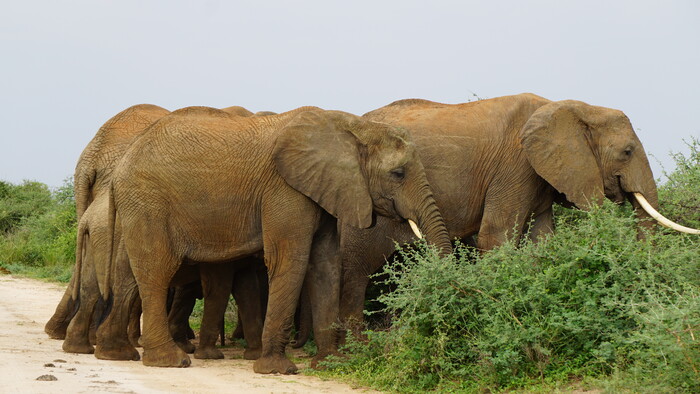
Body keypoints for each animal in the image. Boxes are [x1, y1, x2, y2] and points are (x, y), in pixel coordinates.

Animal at [102, 104, 454, 372]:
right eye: (398, 174)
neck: (350, 126)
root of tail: (119, 170)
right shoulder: (284, 190)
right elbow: (291, 260)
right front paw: (276, 368)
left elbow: (325, 265)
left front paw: (331, 363)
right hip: (149, 202)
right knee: (156, 271)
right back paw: (170, 361)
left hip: (139, 206)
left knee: (128, 276)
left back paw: (116, 354)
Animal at [336, 93, 696, 336]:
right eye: (627, 152)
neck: (568, 106)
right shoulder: (515, 166)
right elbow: (495, 236)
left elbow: (542, 241)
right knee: (357, 268)